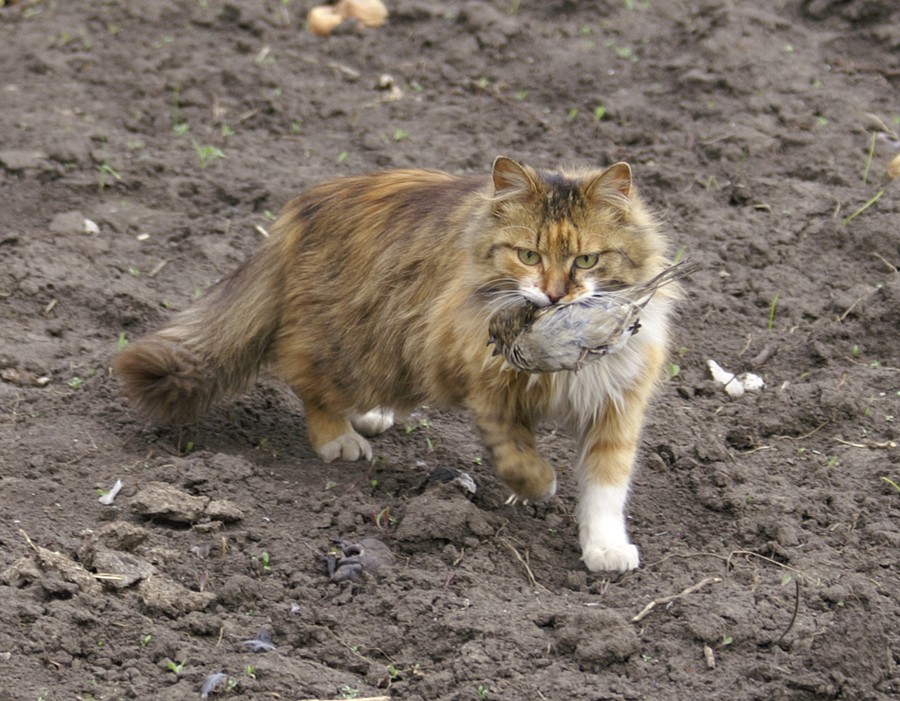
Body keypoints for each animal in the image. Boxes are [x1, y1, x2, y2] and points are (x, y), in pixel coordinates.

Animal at [112, 156, 676, 572]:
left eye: (587, 260)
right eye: (529, 256)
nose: (557, 296)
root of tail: (304, 207)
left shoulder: (616, 401)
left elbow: (606, 485)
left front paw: (604, 547)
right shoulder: (487, 388)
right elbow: (517, 456)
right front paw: (539, 485)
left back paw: (369, 416)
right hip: (350, 346)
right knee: (304, 378)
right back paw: (339, 438)